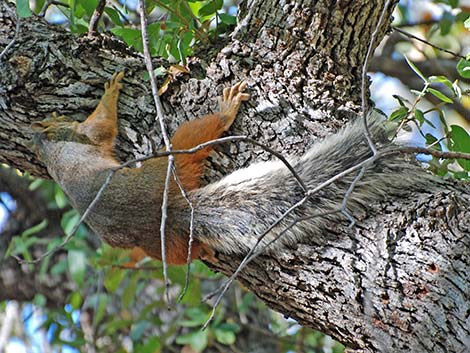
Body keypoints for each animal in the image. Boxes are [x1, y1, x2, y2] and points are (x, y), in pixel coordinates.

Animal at [30, 72, 434, 264]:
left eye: (53, 117)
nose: (51, 118)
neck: (49, 149)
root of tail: (170, 210)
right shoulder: (87, 135)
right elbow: (103, 126)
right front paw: (111, 91)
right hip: (173, 162)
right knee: (195, 136)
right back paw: (225, 113)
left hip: (155, 245)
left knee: (176, 255)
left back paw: (203, 253)